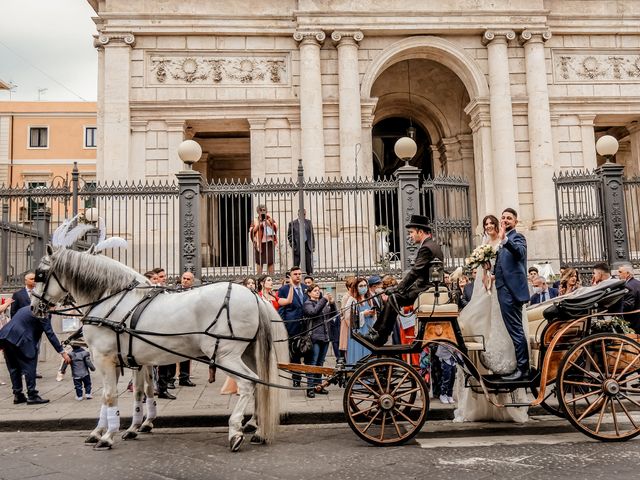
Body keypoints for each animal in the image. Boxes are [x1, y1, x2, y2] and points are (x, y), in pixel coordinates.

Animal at [31, 246, 288, 452]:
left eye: (40, 275)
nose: (34, 307)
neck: (110, 299)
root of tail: (254, 295)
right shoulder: (134, 360)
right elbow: (140, 392)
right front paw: (129, 427)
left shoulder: (104, 358)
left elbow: (108, 396)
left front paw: (107, 435)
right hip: (247, 353)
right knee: (260, 384)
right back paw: (257, 430)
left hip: (225, 354)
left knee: (247, 384)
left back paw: (235, 431)